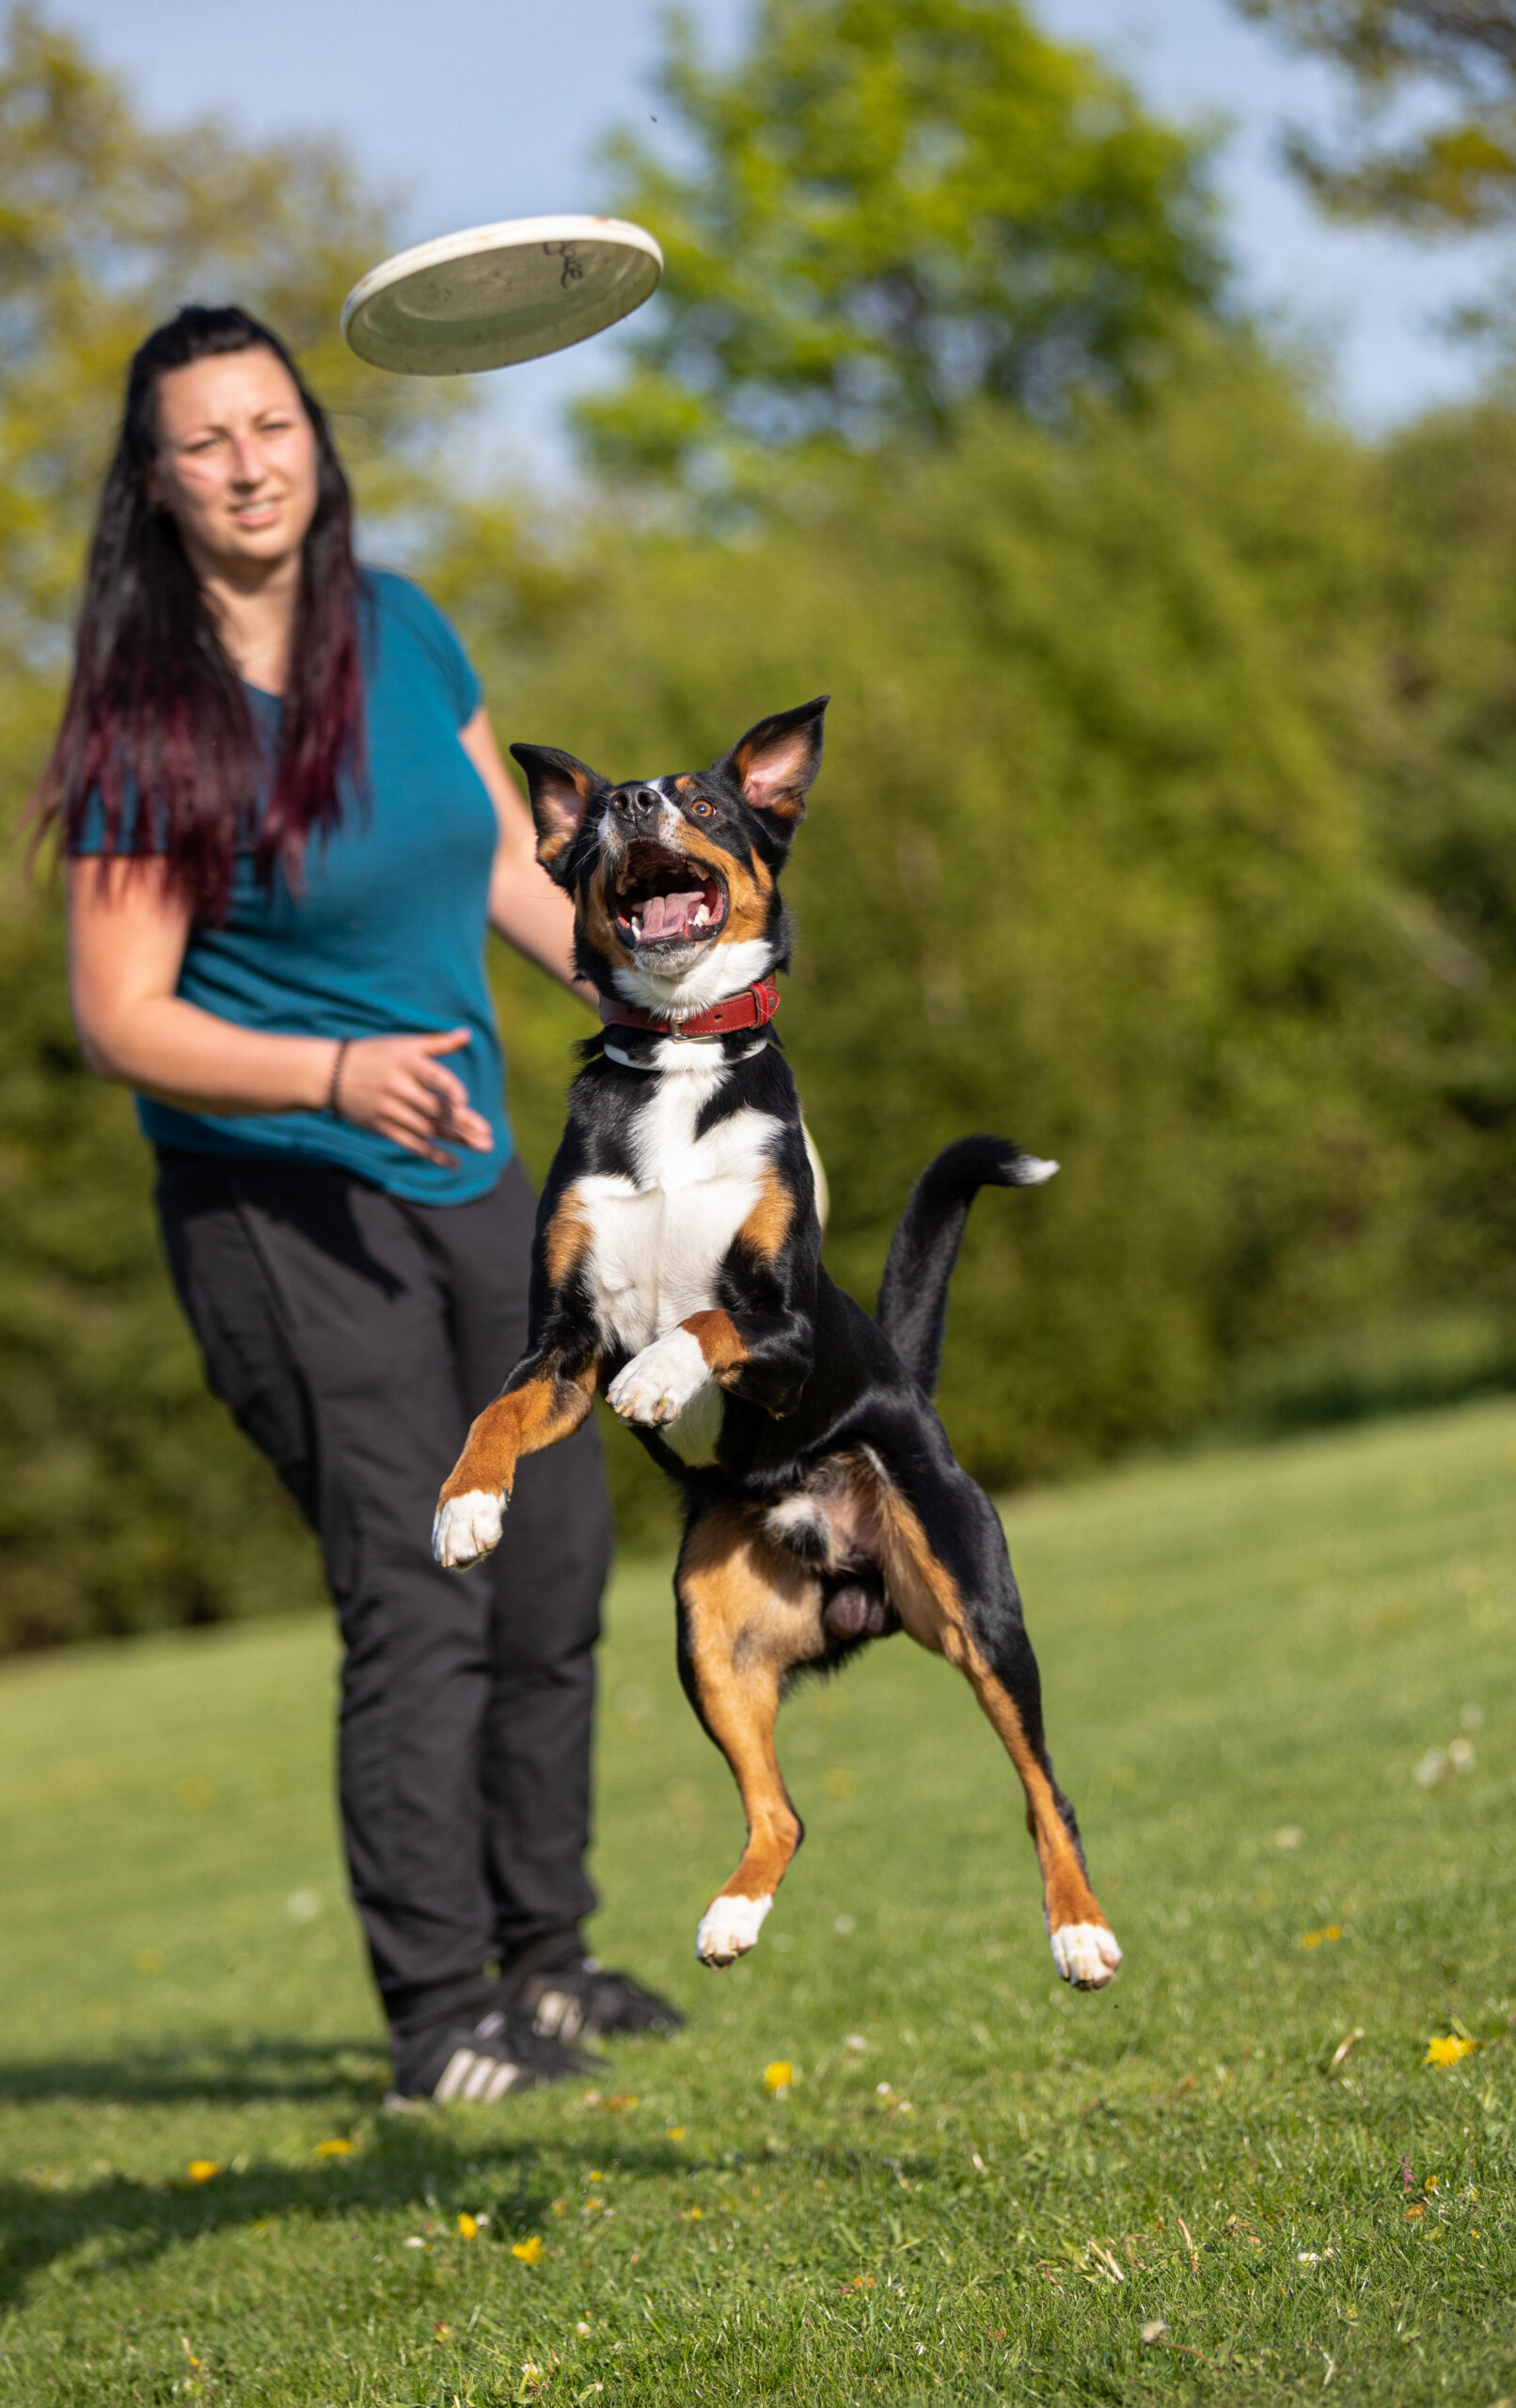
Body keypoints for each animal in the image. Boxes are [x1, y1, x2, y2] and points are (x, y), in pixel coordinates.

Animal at [433, 698, 1121, 1993]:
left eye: (703, 800)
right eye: (595, 822)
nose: (635, 804)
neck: (677, 1059)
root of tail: (851, 1569)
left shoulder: (789, 1326)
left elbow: (706, 1320)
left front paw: (661, 1374)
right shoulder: (560, 1348)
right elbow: (494, 1412)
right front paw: (467, 1510)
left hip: (977, 1611)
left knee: (1040, 1788)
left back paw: (1080, 1932)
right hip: (709, 1640)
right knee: (782, 1811)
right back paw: (731, 1916)